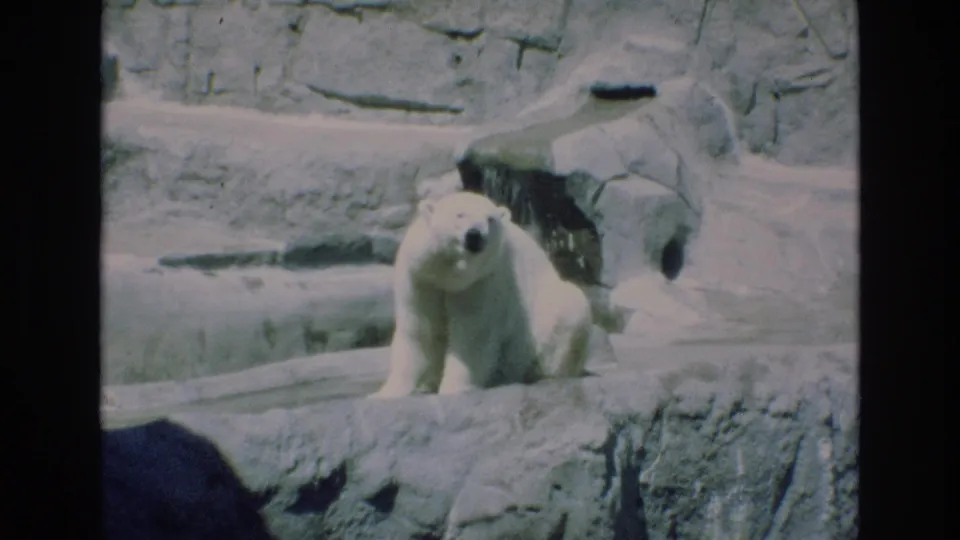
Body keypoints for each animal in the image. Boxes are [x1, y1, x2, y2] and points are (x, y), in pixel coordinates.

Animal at [369, 191, 593, 399]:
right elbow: (419, 330)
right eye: (459, 214)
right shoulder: (421, 277)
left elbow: (472, 334)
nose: (475, 235)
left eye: (490, 219)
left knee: (569, 310)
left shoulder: (482, 282)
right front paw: (387, 392)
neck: (449, 276)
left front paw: (454, 388)